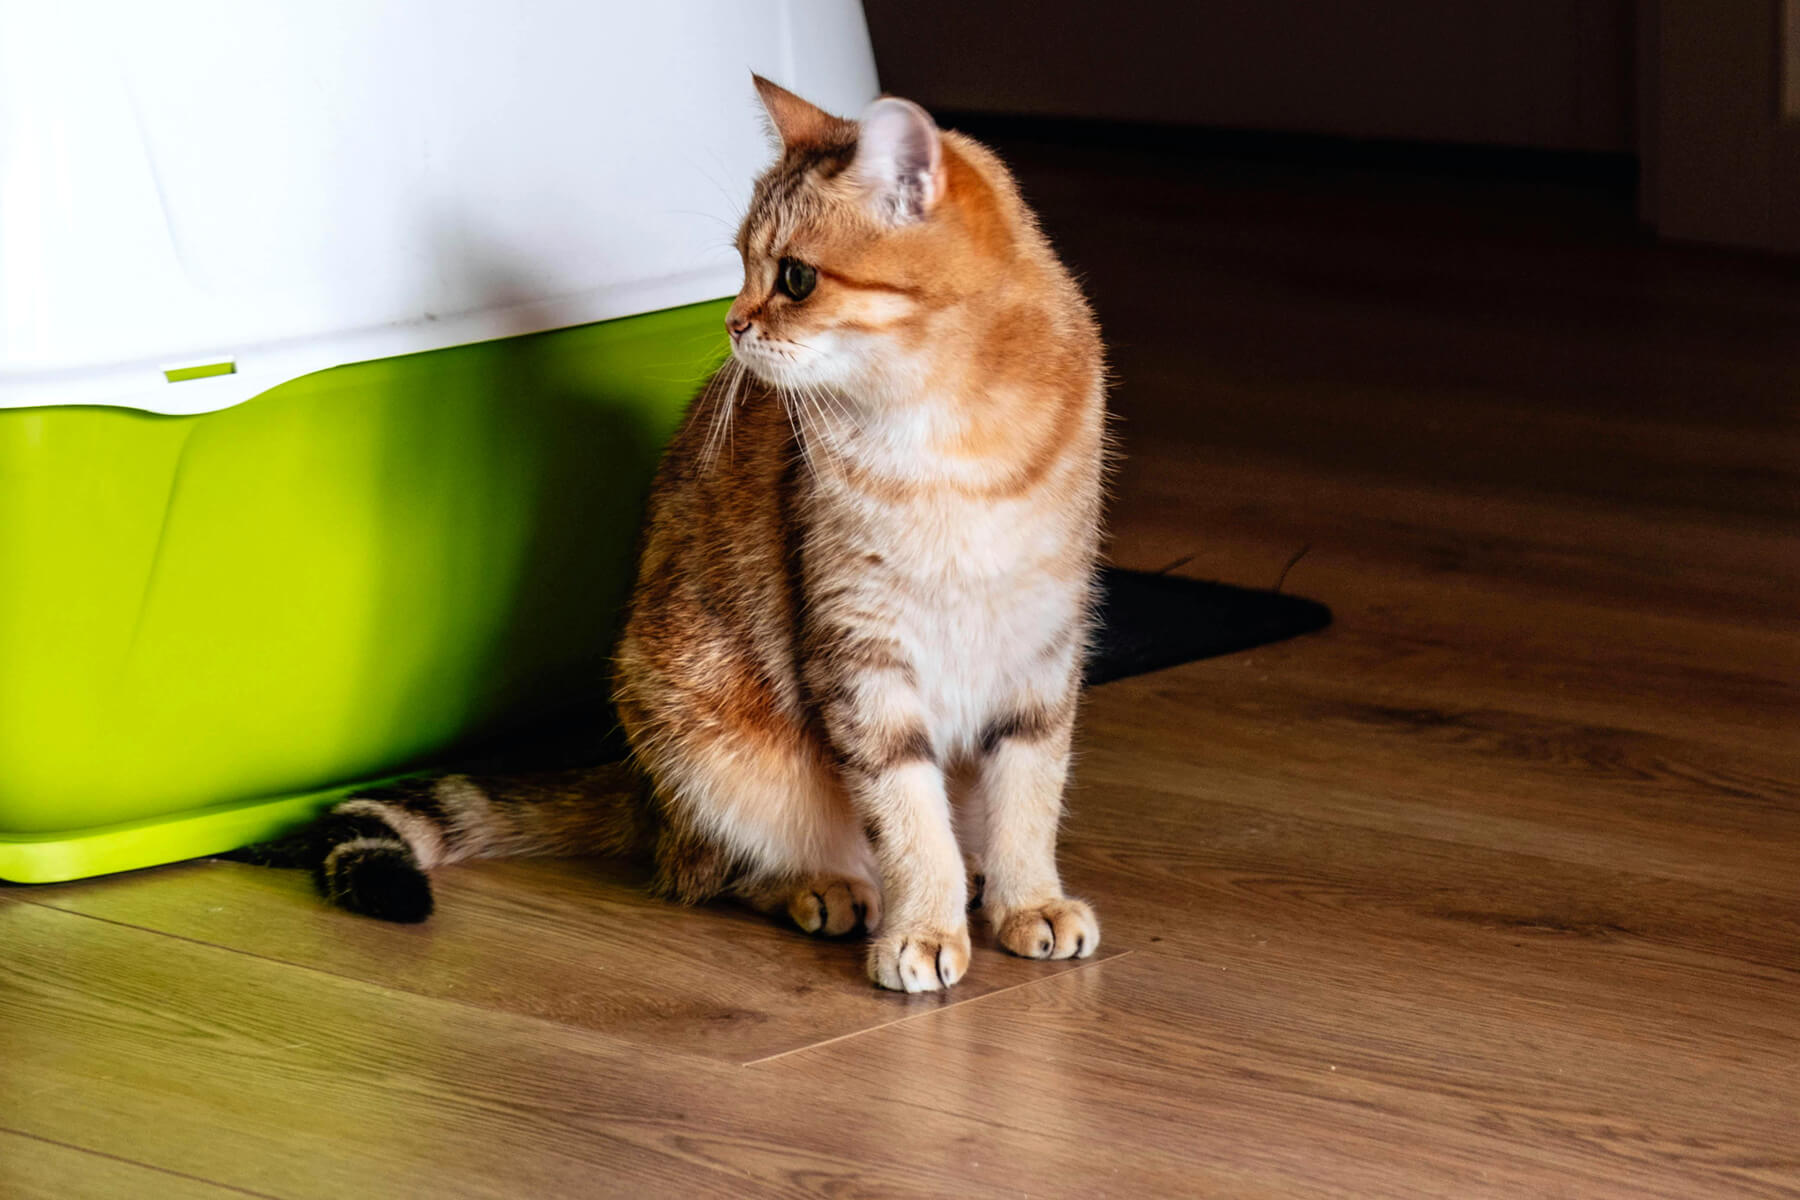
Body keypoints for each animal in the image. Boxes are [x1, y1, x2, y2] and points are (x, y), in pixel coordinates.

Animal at [257, 77, 1108, 993]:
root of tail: (640, 792)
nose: (733, 323)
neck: (951, 439)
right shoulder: (860, 656)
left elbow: (1029, 796)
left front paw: (1029, 902)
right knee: (711, 870)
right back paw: (826, 887)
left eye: (796, 278)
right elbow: (908, 815)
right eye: (740, 261)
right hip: (701, 727)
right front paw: (922, 928)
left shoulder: (1044, 649)